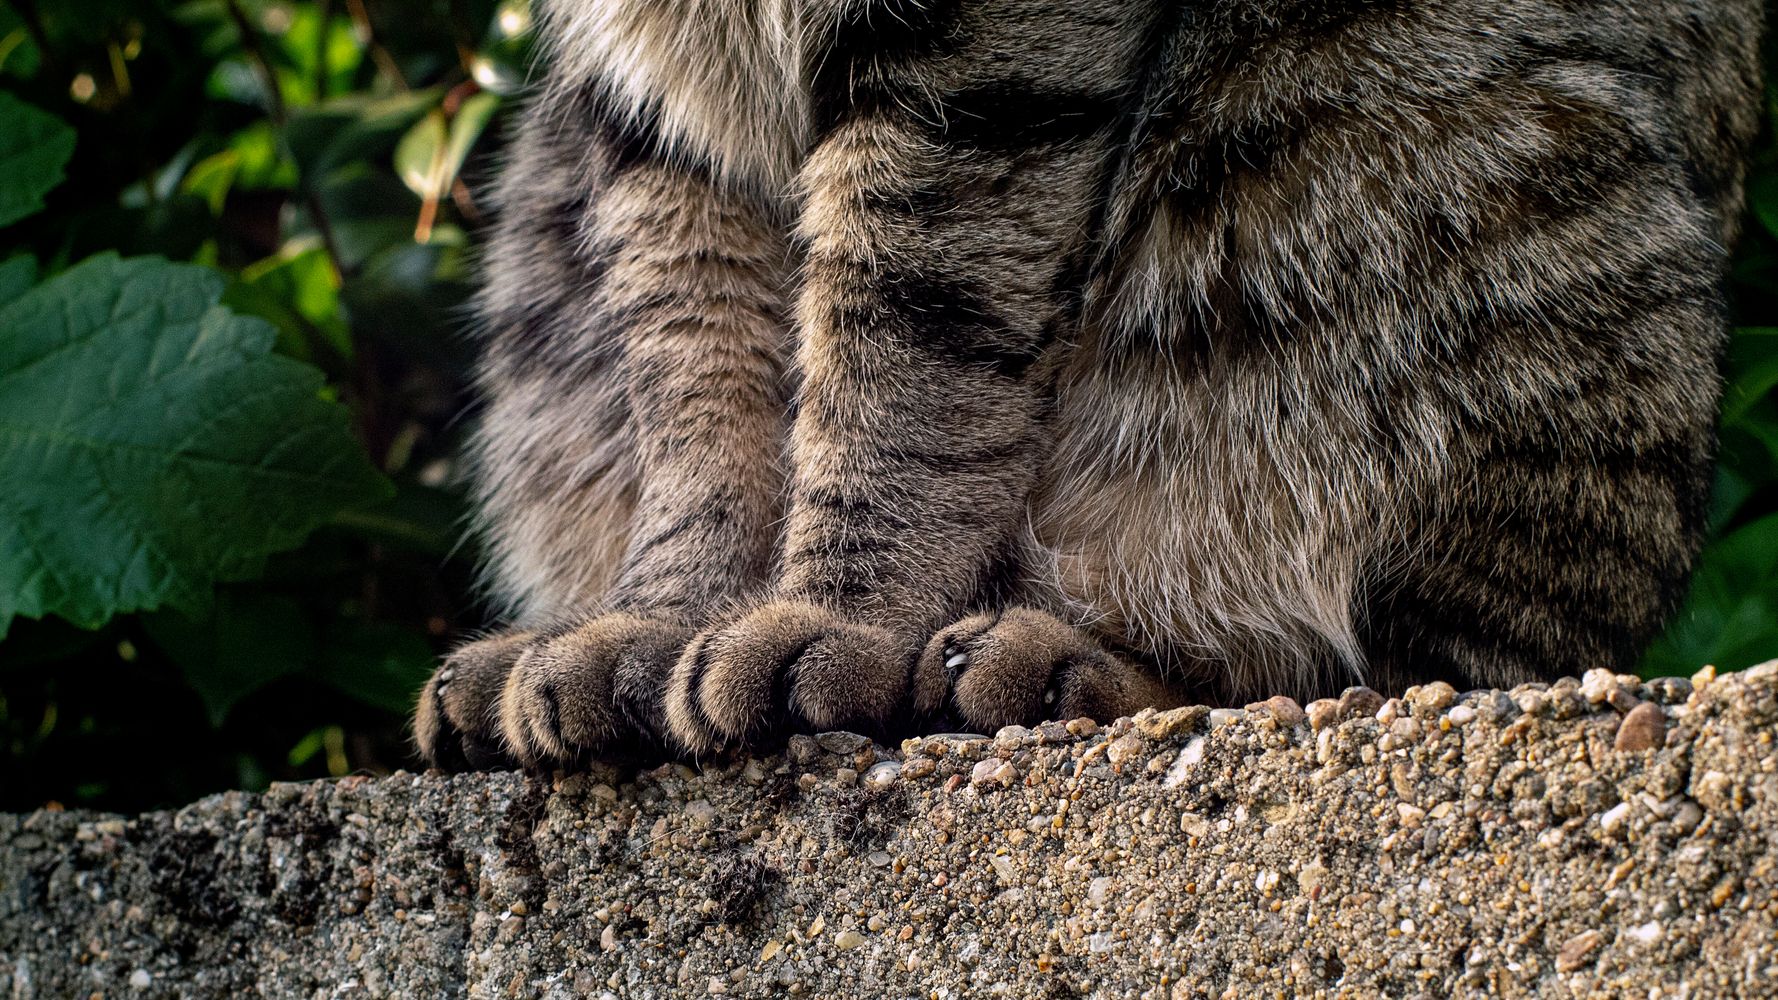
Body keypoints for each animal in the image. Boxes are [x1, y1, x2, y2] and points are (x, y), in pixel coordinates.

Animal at [412, 0, 1763, 772]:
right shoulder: (646, 111)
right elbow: (701, 407)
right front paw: (646, 626)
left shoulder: (966, 55)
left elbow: (900, 360)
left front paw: (839, 617)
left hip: (1422, 168)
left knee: (1405, 660)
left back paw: (1058, 665)